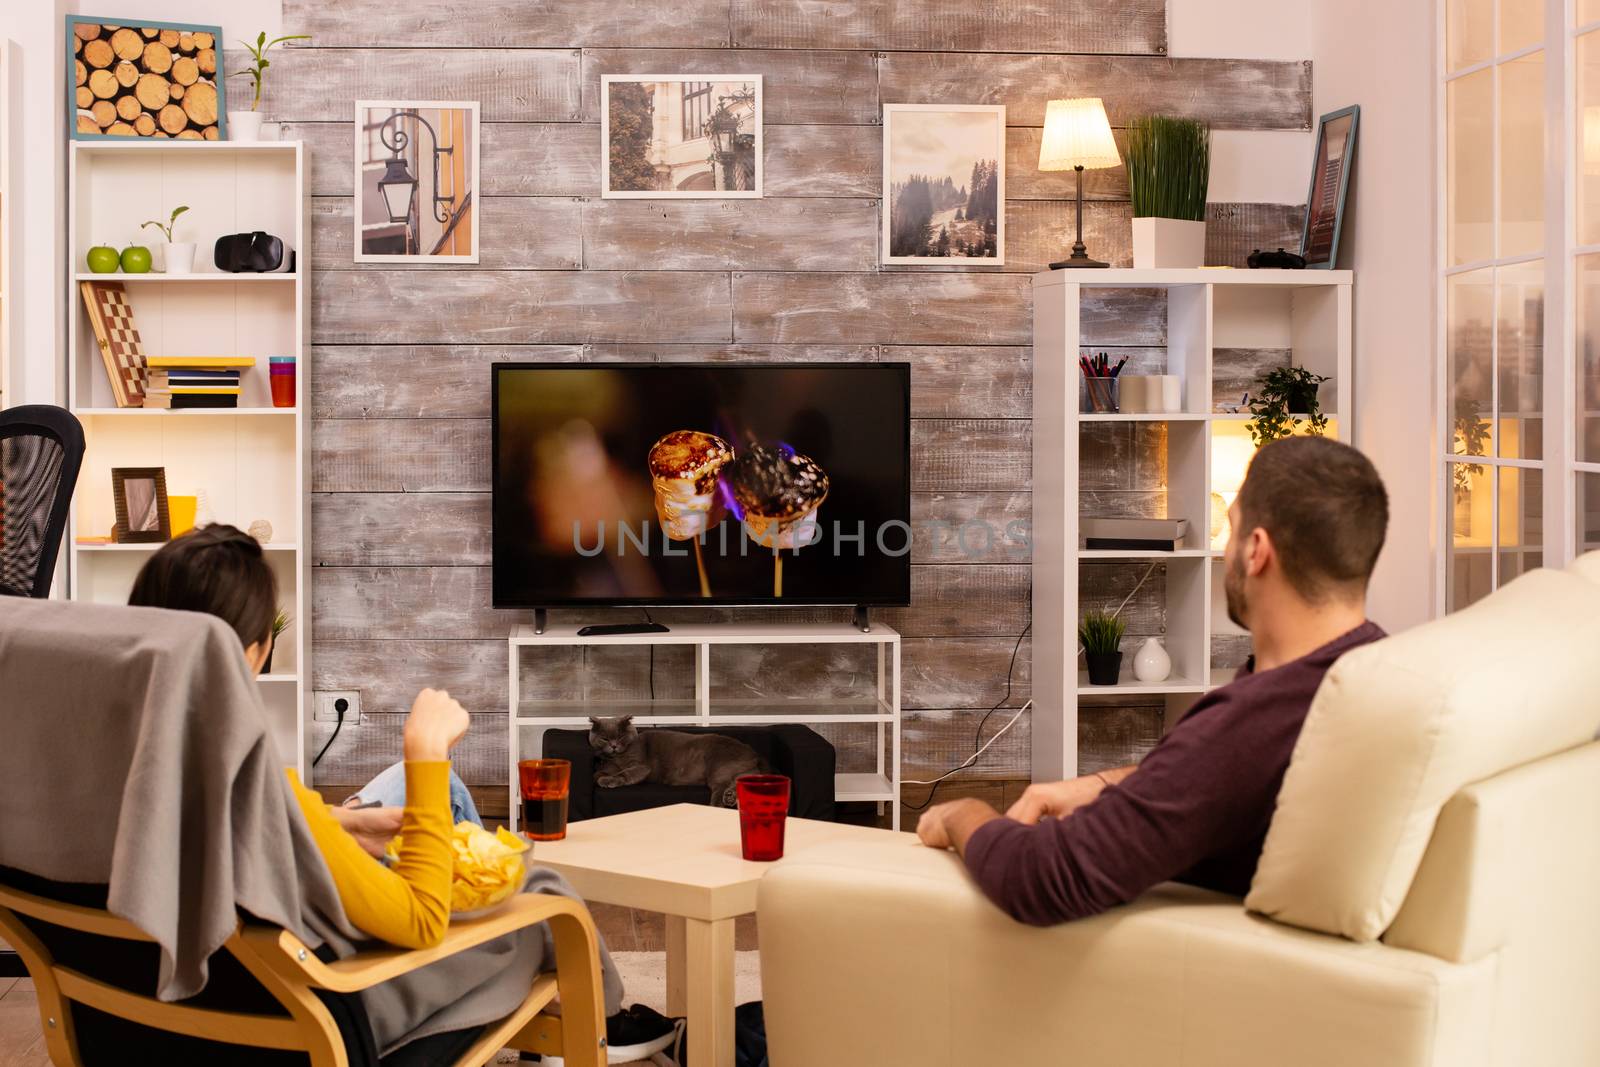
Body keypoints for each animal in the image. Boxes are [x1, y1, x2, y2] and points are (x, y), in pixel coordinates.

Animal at [588, 716, 768, 809]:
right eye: (604, 738)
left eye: (620, 737)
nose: (613, 746)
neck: (616, 758)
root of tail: (752, 751)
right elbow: (597, 773)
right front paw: (601, 775)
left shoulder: (642, 766)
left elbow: (625, 772)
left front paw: (607, 780)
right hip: (740, 769)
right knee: (742, 781)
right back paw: (730, 798)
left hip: (718, 767)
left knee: (721, 786)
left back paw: (718, 805)